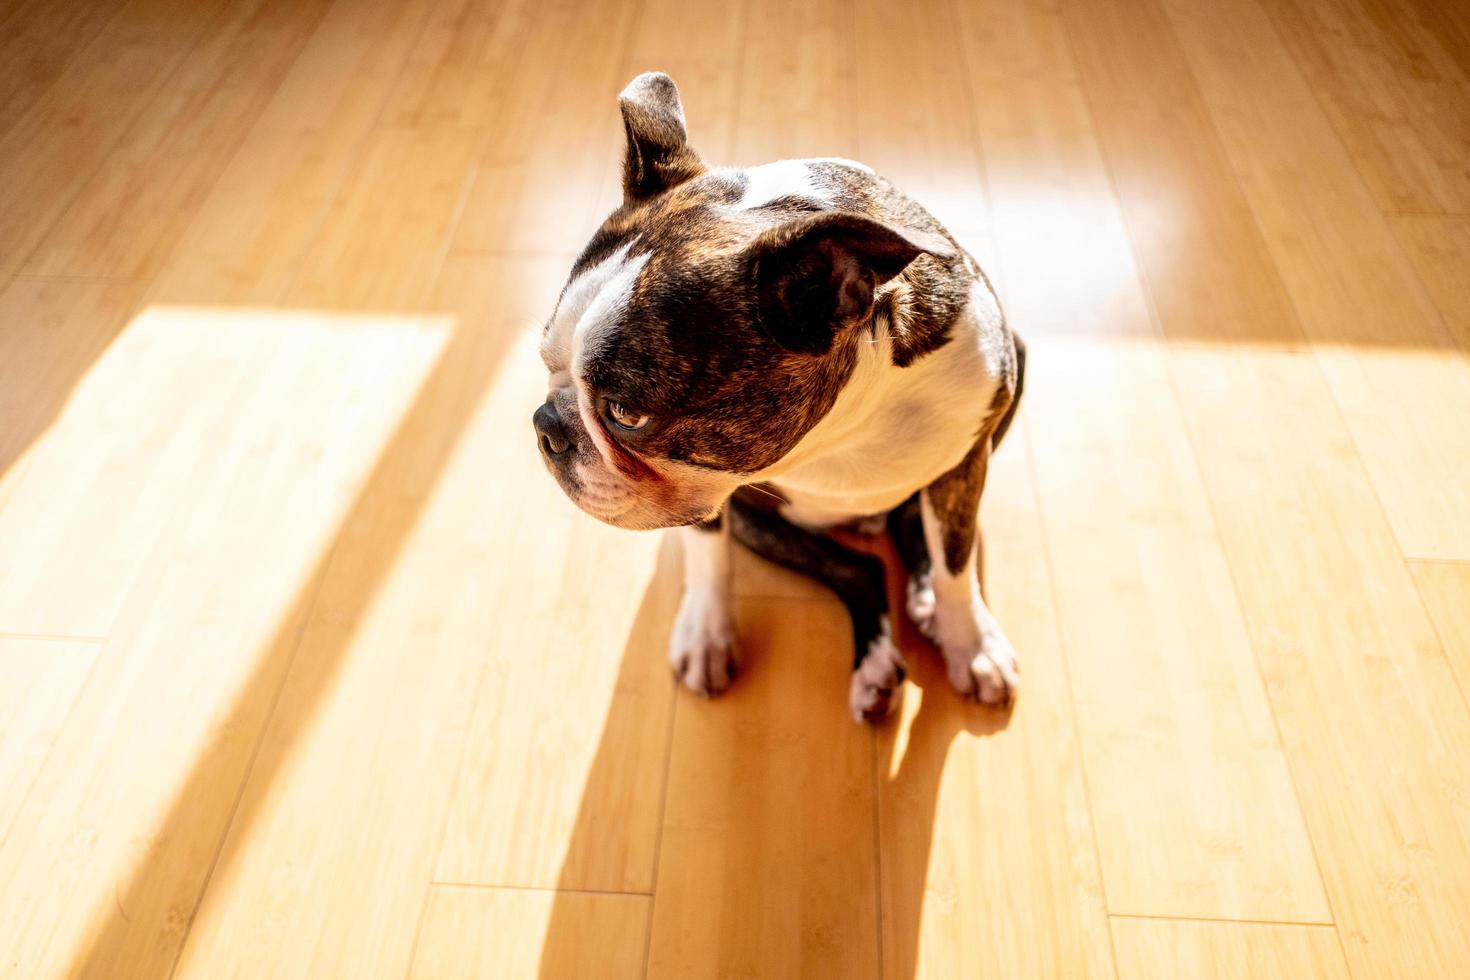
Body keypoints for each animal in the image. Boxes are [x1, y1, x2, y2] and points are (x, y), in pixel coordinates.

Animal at [532, 74, 1023, 719]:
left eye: (624, 413)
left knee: (908, 534)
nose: (547, 426)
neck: (842, 427)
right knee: (858, 568)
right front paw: (707, 634)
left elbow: (955, 566)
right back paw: (874, 663)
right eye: (545, 360)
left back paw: (926, 607)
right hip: (760, 523)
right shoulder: (715, 499)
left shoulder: (968, 460)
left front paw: (972, 644)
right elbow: (707, 553)